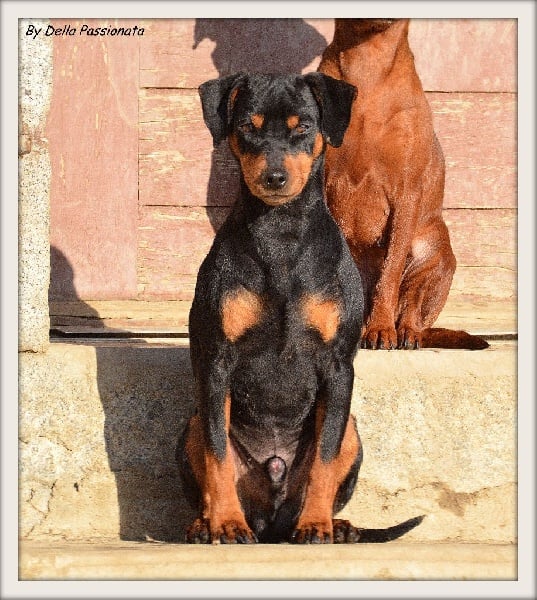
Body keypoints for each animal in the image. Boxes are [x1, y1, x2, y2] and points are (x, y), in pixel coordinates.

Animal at [177, 71, 423, 544]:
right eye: (248, 126)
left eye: (303, 127)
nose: (274, 177)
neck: (282, 233)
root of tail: (271, 519)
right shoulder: (215, 362)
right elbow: (218, 454)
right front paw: (227, 525)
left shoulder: (337, 366)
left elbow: (325, 459)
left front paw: (316, 526)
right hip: (193, 424)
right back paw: (207, 524)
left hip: (352, 430)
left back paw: (335, 525)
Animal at [318, 19, 488, 350]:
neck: (368, 63)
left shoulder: (407, 192)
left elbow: (391, 271)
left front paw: (380, 328)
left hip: (436, 254)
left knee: (412, 306)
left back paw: (405, 332)